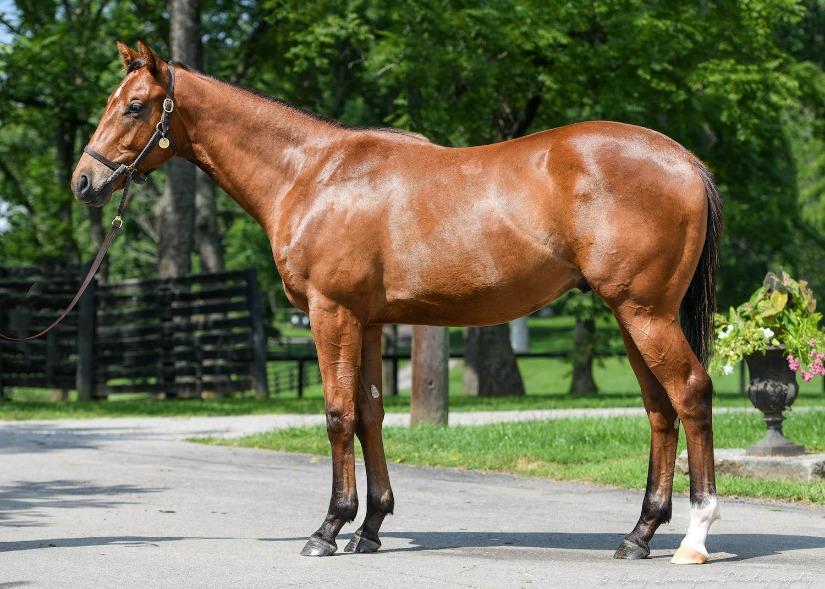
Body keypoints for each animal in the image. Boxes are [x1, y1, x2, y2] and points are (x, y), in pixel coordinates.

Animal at [74, 42, 724, 564]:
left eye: (134, 106)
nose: (84, 182)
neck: (312, 174)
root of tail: (685, 160)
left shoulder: (330, 313)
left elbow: (337, 415)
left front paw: (328, 528)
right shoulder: (366, 323)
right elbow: (369, 415)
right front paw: (370, 527)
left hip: (644, 313)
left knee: (690, 393)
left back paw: (694, 537)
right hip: (631, 316)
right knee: (659, 408)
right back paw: (639, 535)